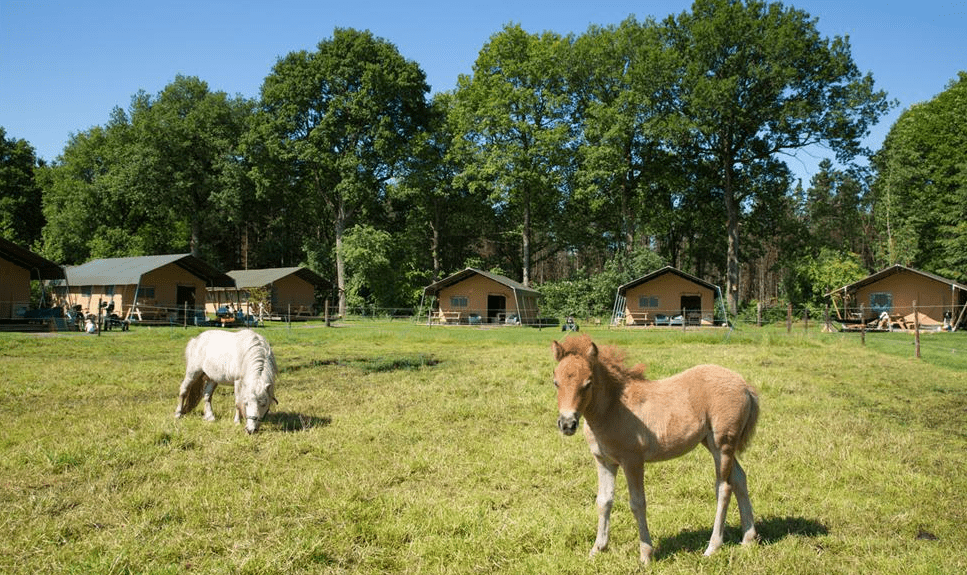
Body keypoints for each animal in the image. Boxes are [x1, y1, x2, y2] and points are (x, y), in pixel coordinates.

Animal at [548, 336, 760, 564]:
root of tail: (745, 385)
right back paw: (748, 539)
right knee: (739, 478)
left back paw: (712, 547)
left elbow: (637, 503)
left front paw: (646, 555)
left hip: (723, 445)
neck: (613, 408)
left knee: (724, 487)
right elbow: (603, 501)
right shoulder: (604, 461)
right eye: (556, 382)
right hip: (712, 443)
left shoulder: (632, 461)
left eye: (587, 384)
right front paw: (597, 549)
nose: (567, 424)